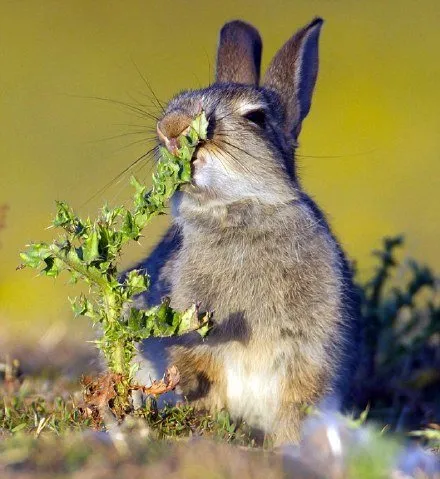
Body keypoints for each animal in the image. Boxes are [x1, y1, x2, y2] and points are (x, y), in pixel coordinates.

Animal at [131, 18, 360, 446]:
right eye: (178, 99)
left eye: (255, 117)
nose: (169, 129)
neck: (237, 213)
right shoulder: (193, 341)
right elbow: (201, 381)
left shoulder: (308, 353)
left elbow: (296, 402)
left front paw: (287, 446)